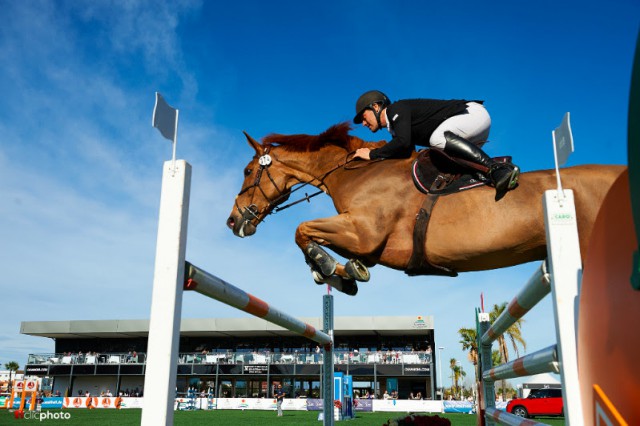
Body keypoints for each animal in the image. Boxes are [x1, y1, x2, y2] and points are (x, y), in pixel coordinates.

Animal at [228, 123, 628, 294]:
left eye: (247, 171)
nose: (233, 221)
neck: (354, 172)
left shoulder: (364, 233)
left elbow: (303, 230)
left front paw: (329, 267)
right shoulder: (367, 242)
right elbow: (321, 243)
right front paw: (341, 272)